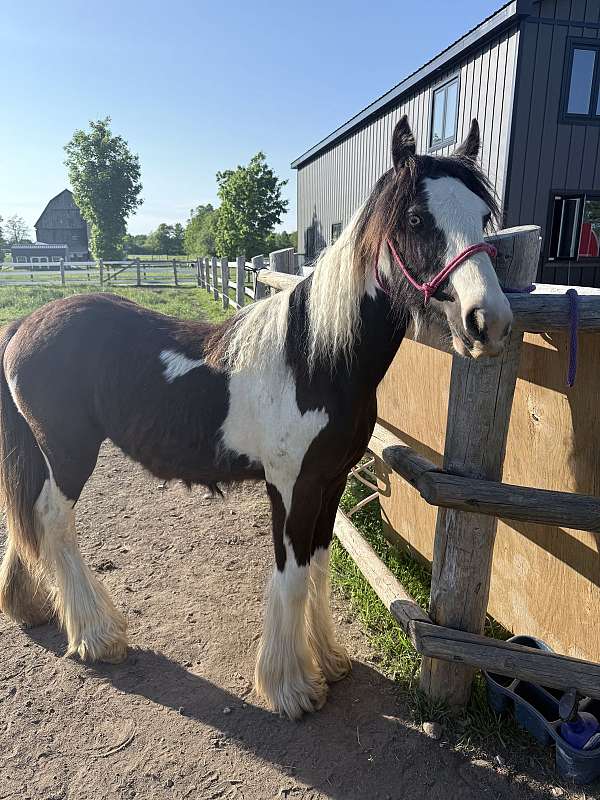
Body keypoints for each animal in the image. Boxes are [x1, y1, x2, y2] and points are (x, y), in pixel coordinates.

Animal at [0, 117, 512, 719]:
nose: (489, 323)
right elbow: (291, 576)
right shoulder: (290, 487)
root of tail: (24, 325)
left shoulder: (330, 481)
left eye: (484, 217)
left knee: (27, 519)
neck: (316, 358)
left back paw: (31, 607)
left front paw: (330, 660)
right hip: (69, 453)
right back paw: (98, 636)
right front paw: (291, 687)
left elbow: (317, 567)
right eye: (416, 218)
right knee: (54, 522)